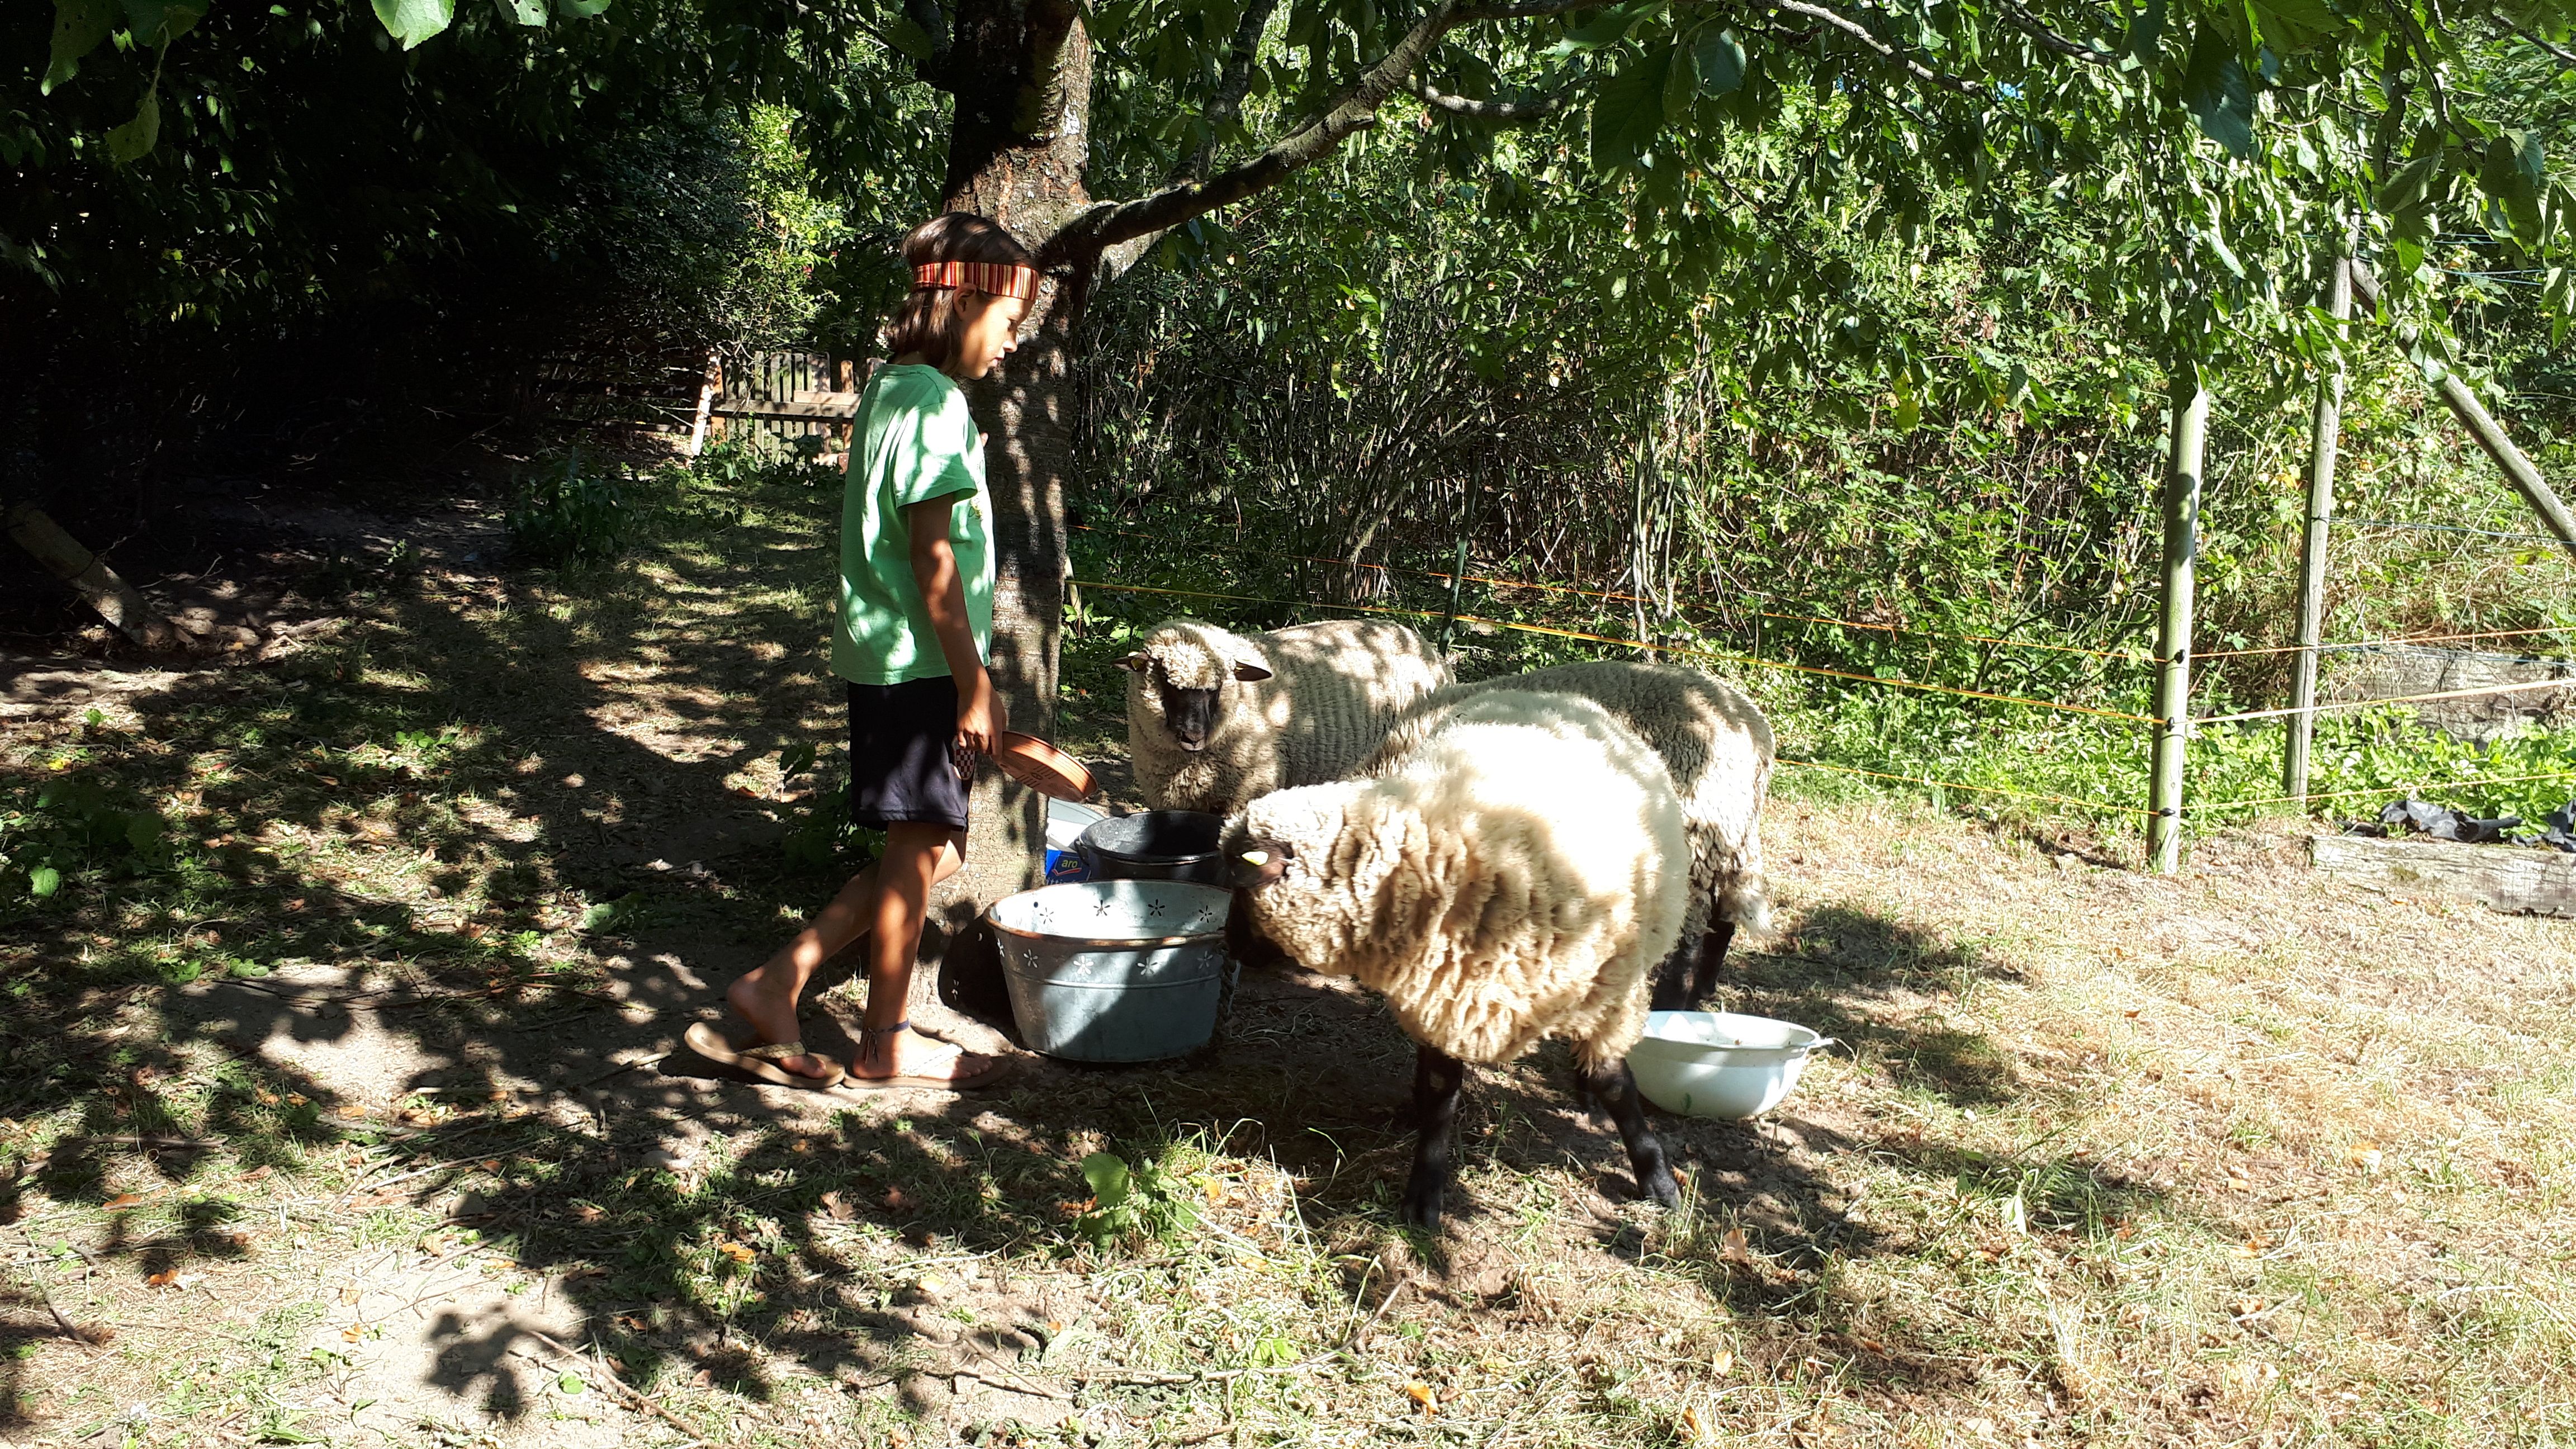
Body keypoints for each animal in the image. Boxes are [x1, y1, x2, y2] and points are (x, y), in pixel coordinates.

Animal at [1223, 688, 1689, 1229]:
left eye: (1239, 882)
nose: (1231, 945)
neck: (1433, 853)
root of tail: (1545, 692)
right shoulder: (1442, 994)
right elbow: (1443, 1091)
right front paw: (1425, 1193)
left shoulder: (1609, 991)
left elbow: (1616, 1084)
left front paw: (1658, 1180)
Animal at [1364, 660, 1773, 1012]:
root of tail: (1753, 729)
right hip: (1728, 839)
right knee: (1725, 918)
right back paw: (1704, 991)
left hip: (1696, 839)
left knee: (1689, 939)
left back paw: (1672, 1004)